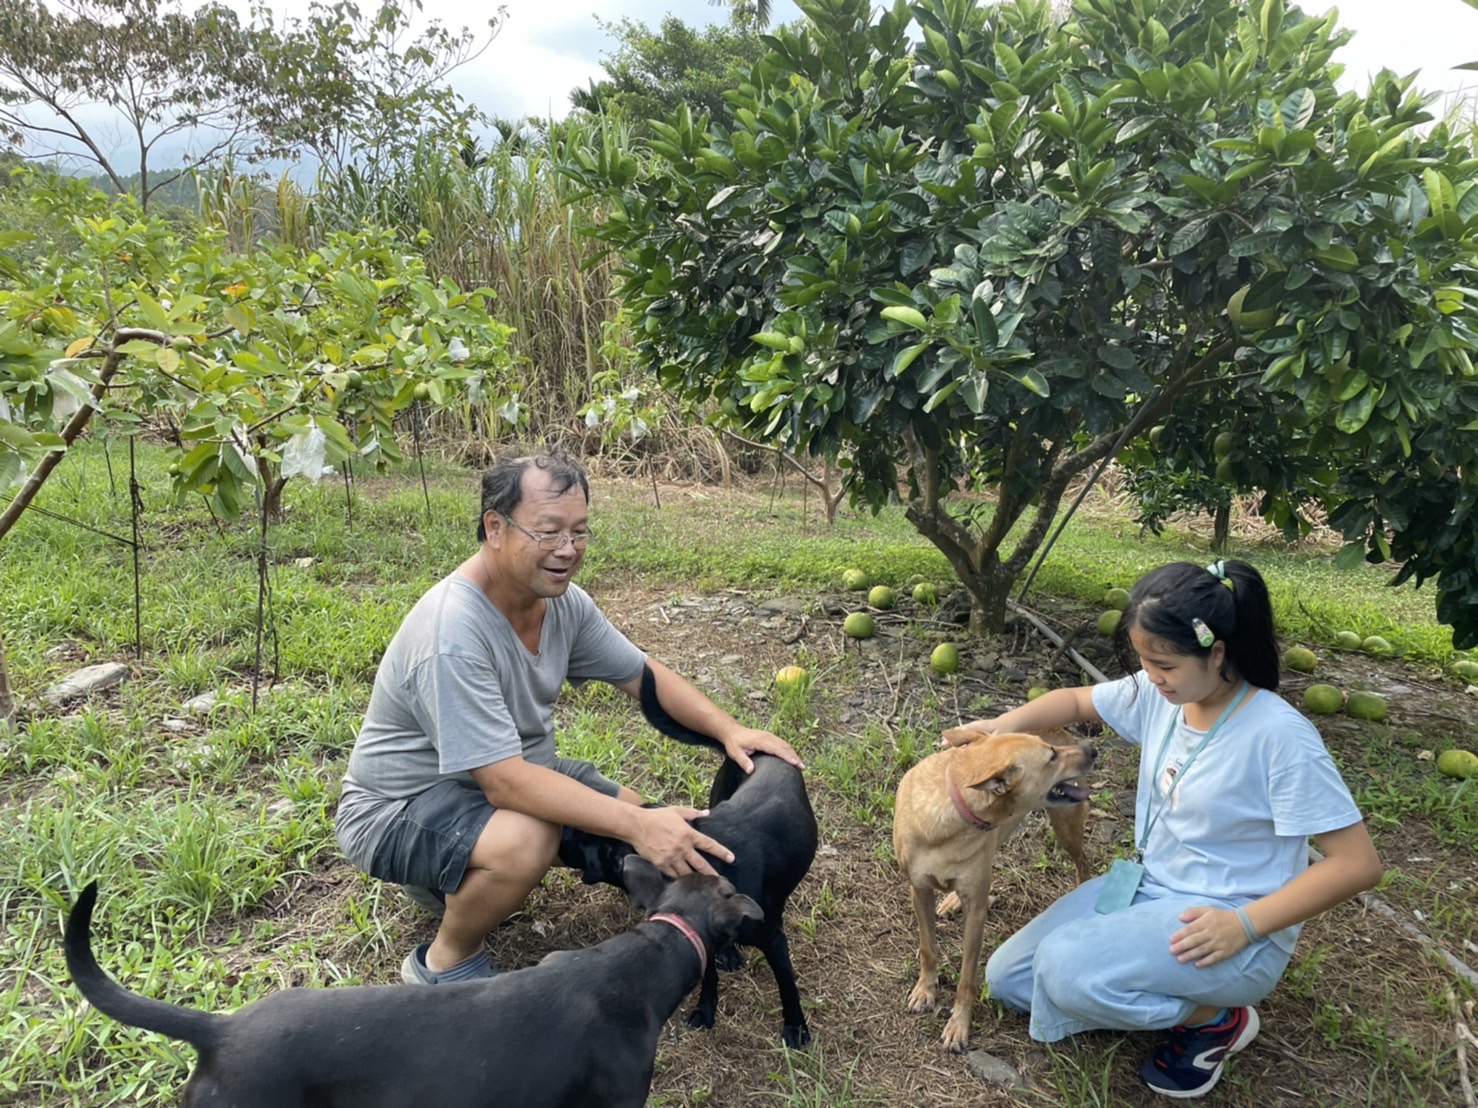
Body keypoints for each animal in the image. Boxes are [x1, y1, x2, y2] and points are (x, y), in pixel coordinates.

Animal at [555, 667, 821, 1051]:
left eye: (583, 838)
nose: (558, 832)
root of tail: (751, 747)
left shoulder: (773, 940)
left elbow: (787, 985)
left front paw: (796, 1027)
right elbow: (708, 976)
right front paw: (706, 1009)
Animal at [886, 729, 1099, 1051]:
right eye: (1051, 756)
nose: (1091, 750)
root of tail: (1063, 729)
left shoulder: (975, 912)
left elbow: (967, 977)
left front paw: (959, 1025)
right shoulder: (919, 890)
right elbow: (927, 948)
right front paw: (925, 990)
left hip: (1067, 829)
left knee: (1083, 864)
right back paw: (952, 901)